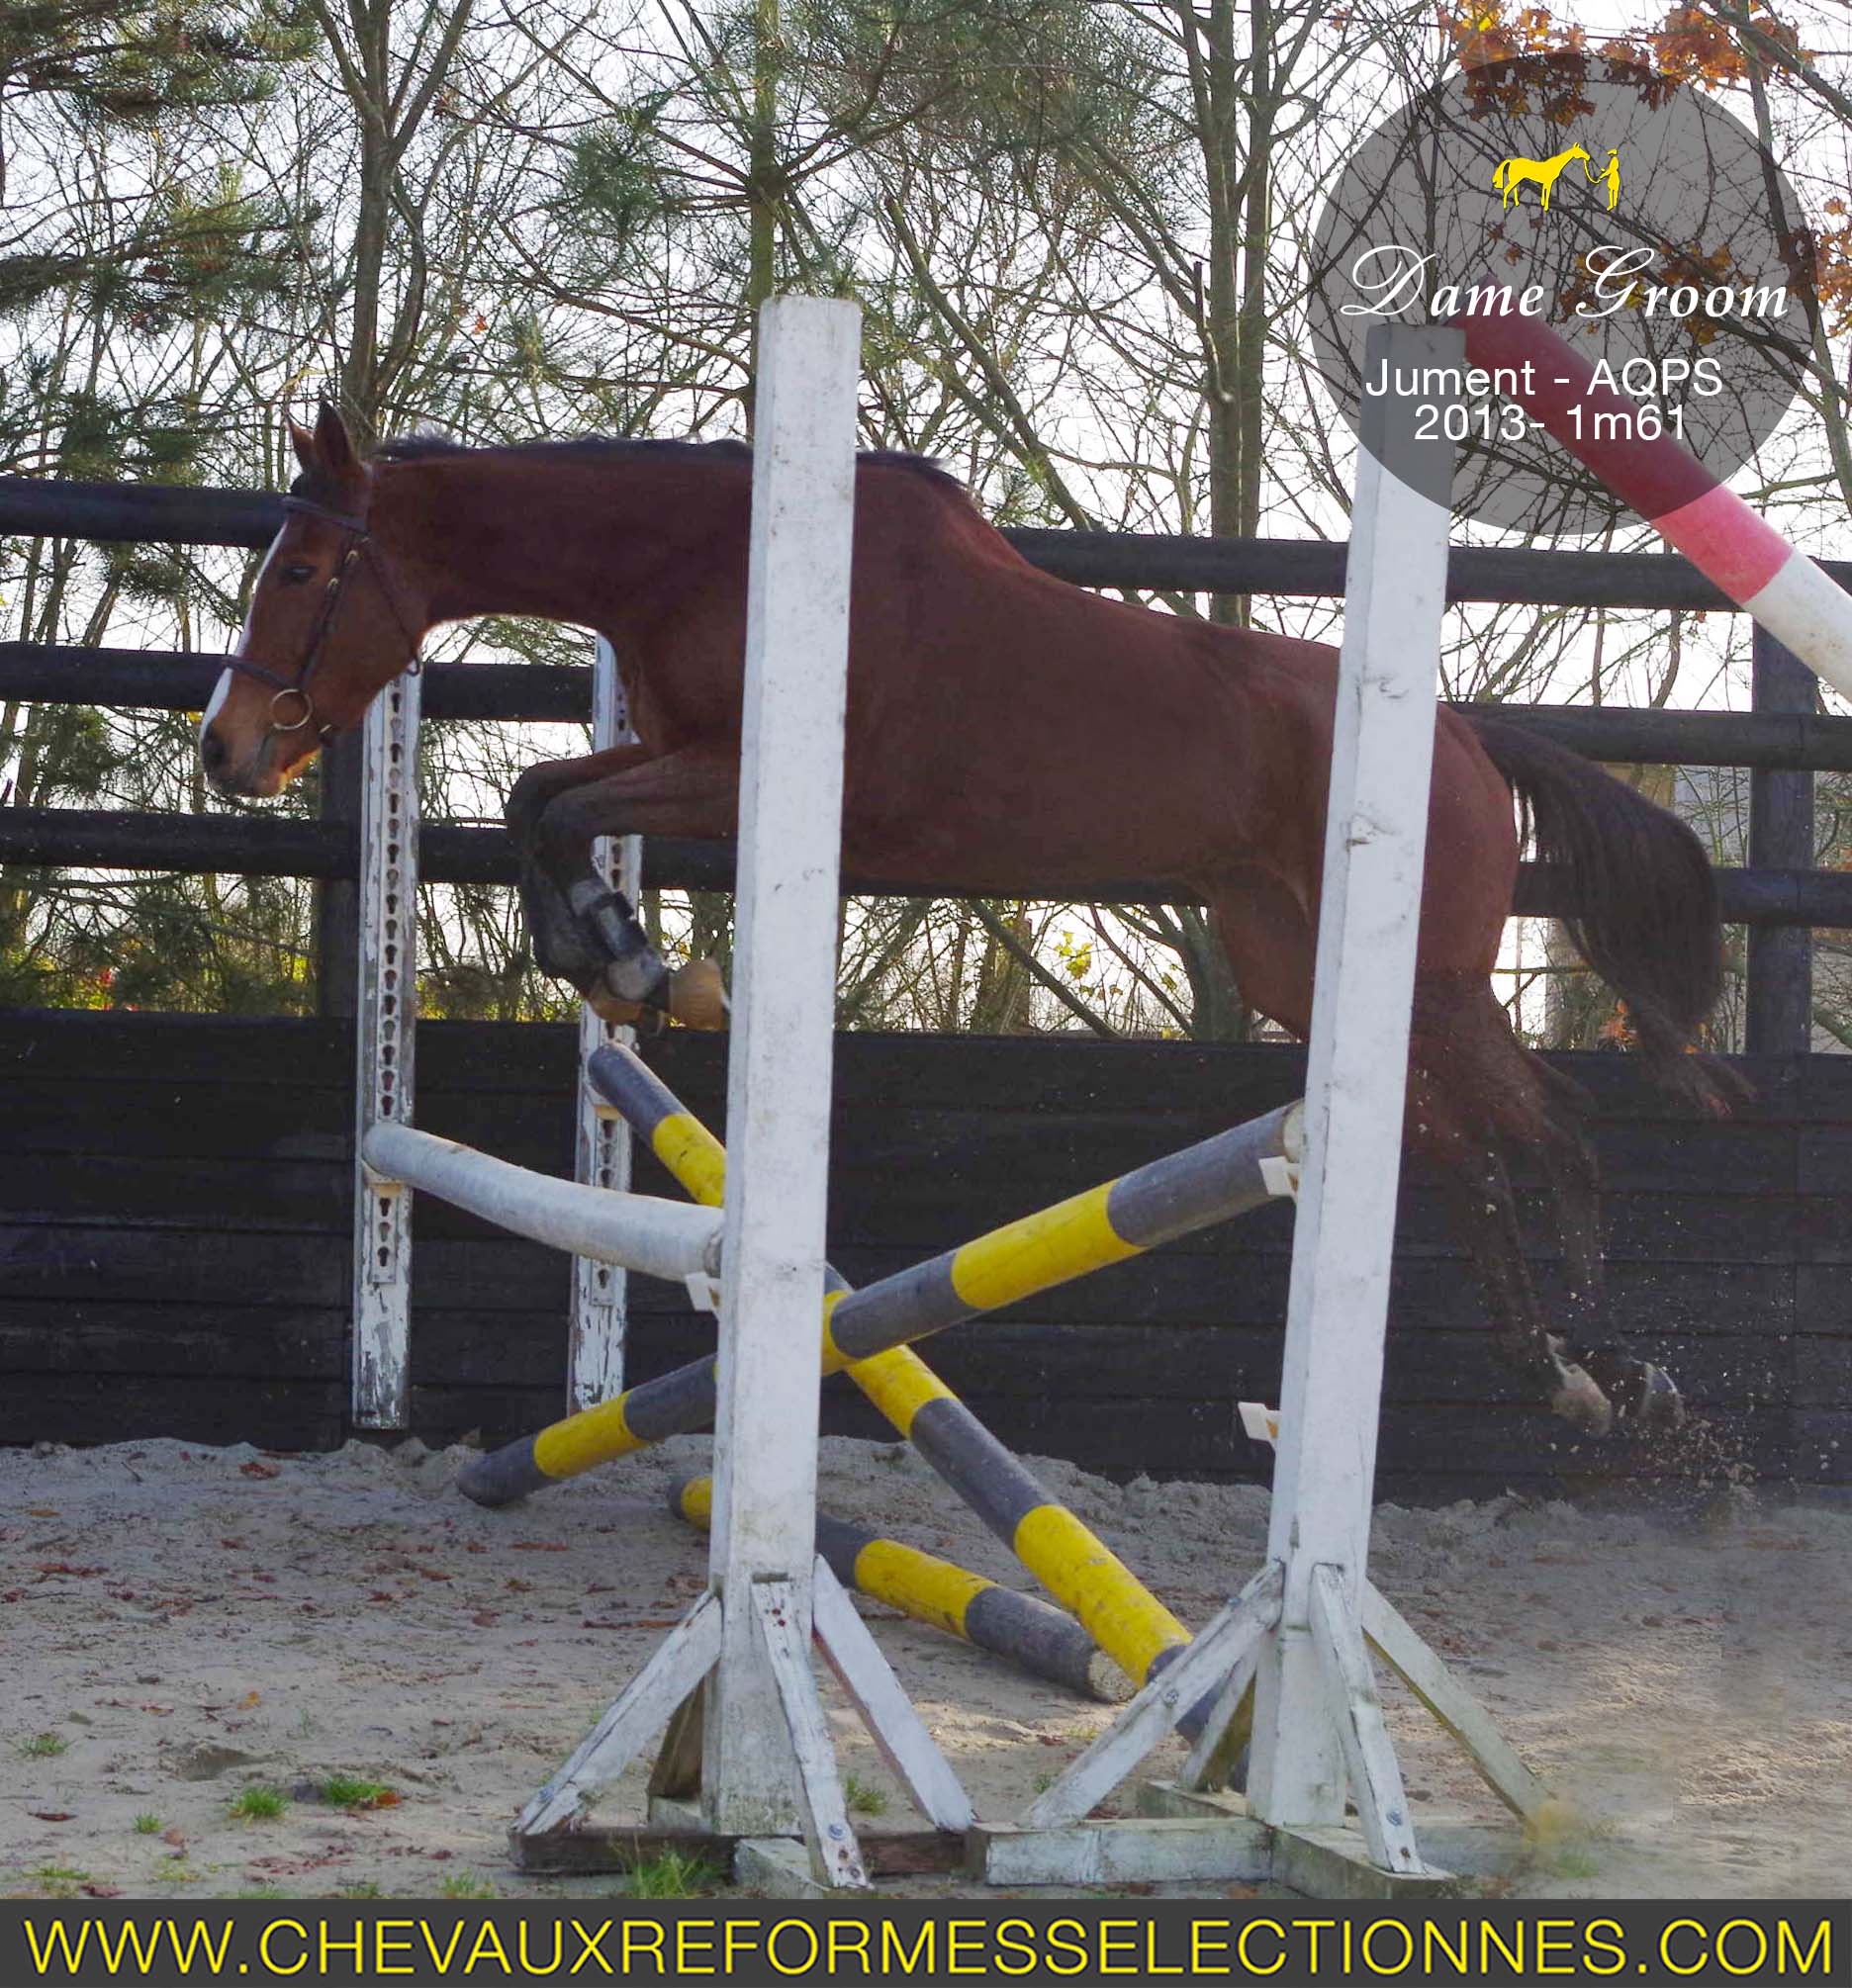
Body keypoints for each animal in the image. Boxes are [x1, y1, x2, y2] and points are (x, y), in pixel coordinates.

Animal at [207, 407, 1734, 1447]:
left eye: (302, 574)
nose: (227, 749)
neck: (709, 556)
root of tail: (1470, 736)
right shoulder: (688, 751)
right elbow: (542, 798)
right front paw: (624, 960)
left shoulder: (746, 768)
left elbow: (549, 800)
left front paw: (633, 961)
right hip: (1294, 965)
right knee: (1463, 1157)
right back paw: (1562, 1372)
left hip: (1432, 972)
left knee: (1552, 1134)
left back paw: (1621, 1373)